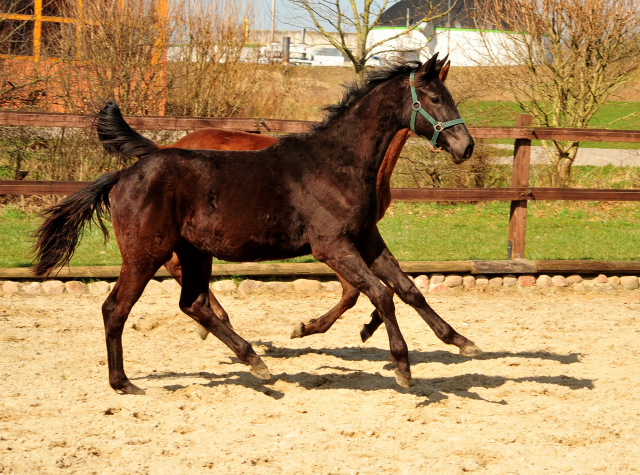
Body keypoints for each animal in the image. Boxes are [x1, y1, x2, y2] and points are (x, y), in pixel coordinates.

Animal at [31, 54, 480, 394]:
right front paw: (402, 367)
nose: (467, 146)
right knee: (116, 308)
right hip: (146, 254)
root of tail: (125, 173)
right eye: (435, 98)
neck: (337, 163)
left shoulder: (365, 237)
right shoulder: (332, 246)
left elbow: (407, 289)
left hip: (195, 253)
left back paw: (255, 362)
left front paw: (460, 341)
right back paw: (123, 382)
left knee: (192, 303)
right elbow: (380, 294)